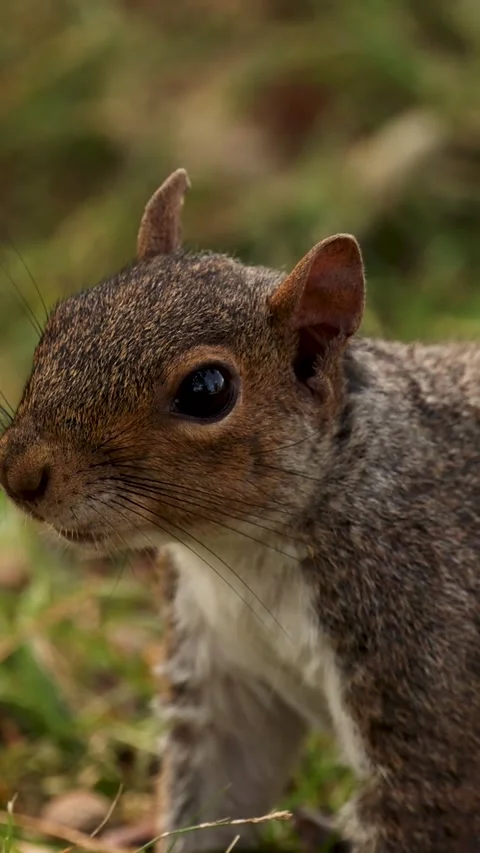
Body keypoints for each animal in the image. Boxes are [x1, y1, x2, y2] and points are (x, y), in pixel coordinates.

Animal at [0, 168, 479, 853]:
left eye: (207, 391)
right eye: (61, 322)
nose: (19, 474)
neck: (247, 551)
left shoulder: (425, 658)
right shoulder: (223, 680)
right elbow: (217, 794)